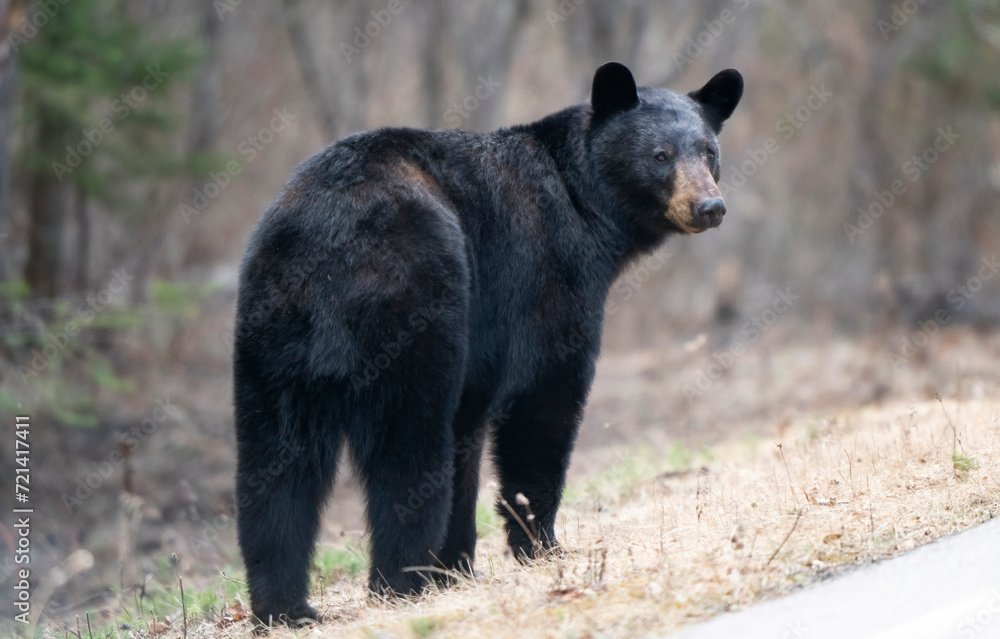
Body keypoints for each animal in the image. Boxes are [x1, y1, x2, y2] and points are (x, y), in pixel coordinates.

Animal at [233, 61, 743, 625]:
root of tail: (327, 241)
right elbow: (543, 408)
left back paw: (285, 607)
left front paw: (457, 566)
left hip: (273, 334)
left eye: (708, 151)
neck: (584, 205)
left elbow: (468, 435)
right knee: (406, 449)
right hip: (415, 302)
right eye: (660, 155)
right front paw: (541, 545)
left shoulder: (481, 351)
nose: (709, 206)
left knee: (277, 461)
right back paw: (399, 583)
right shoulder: (543, 283)